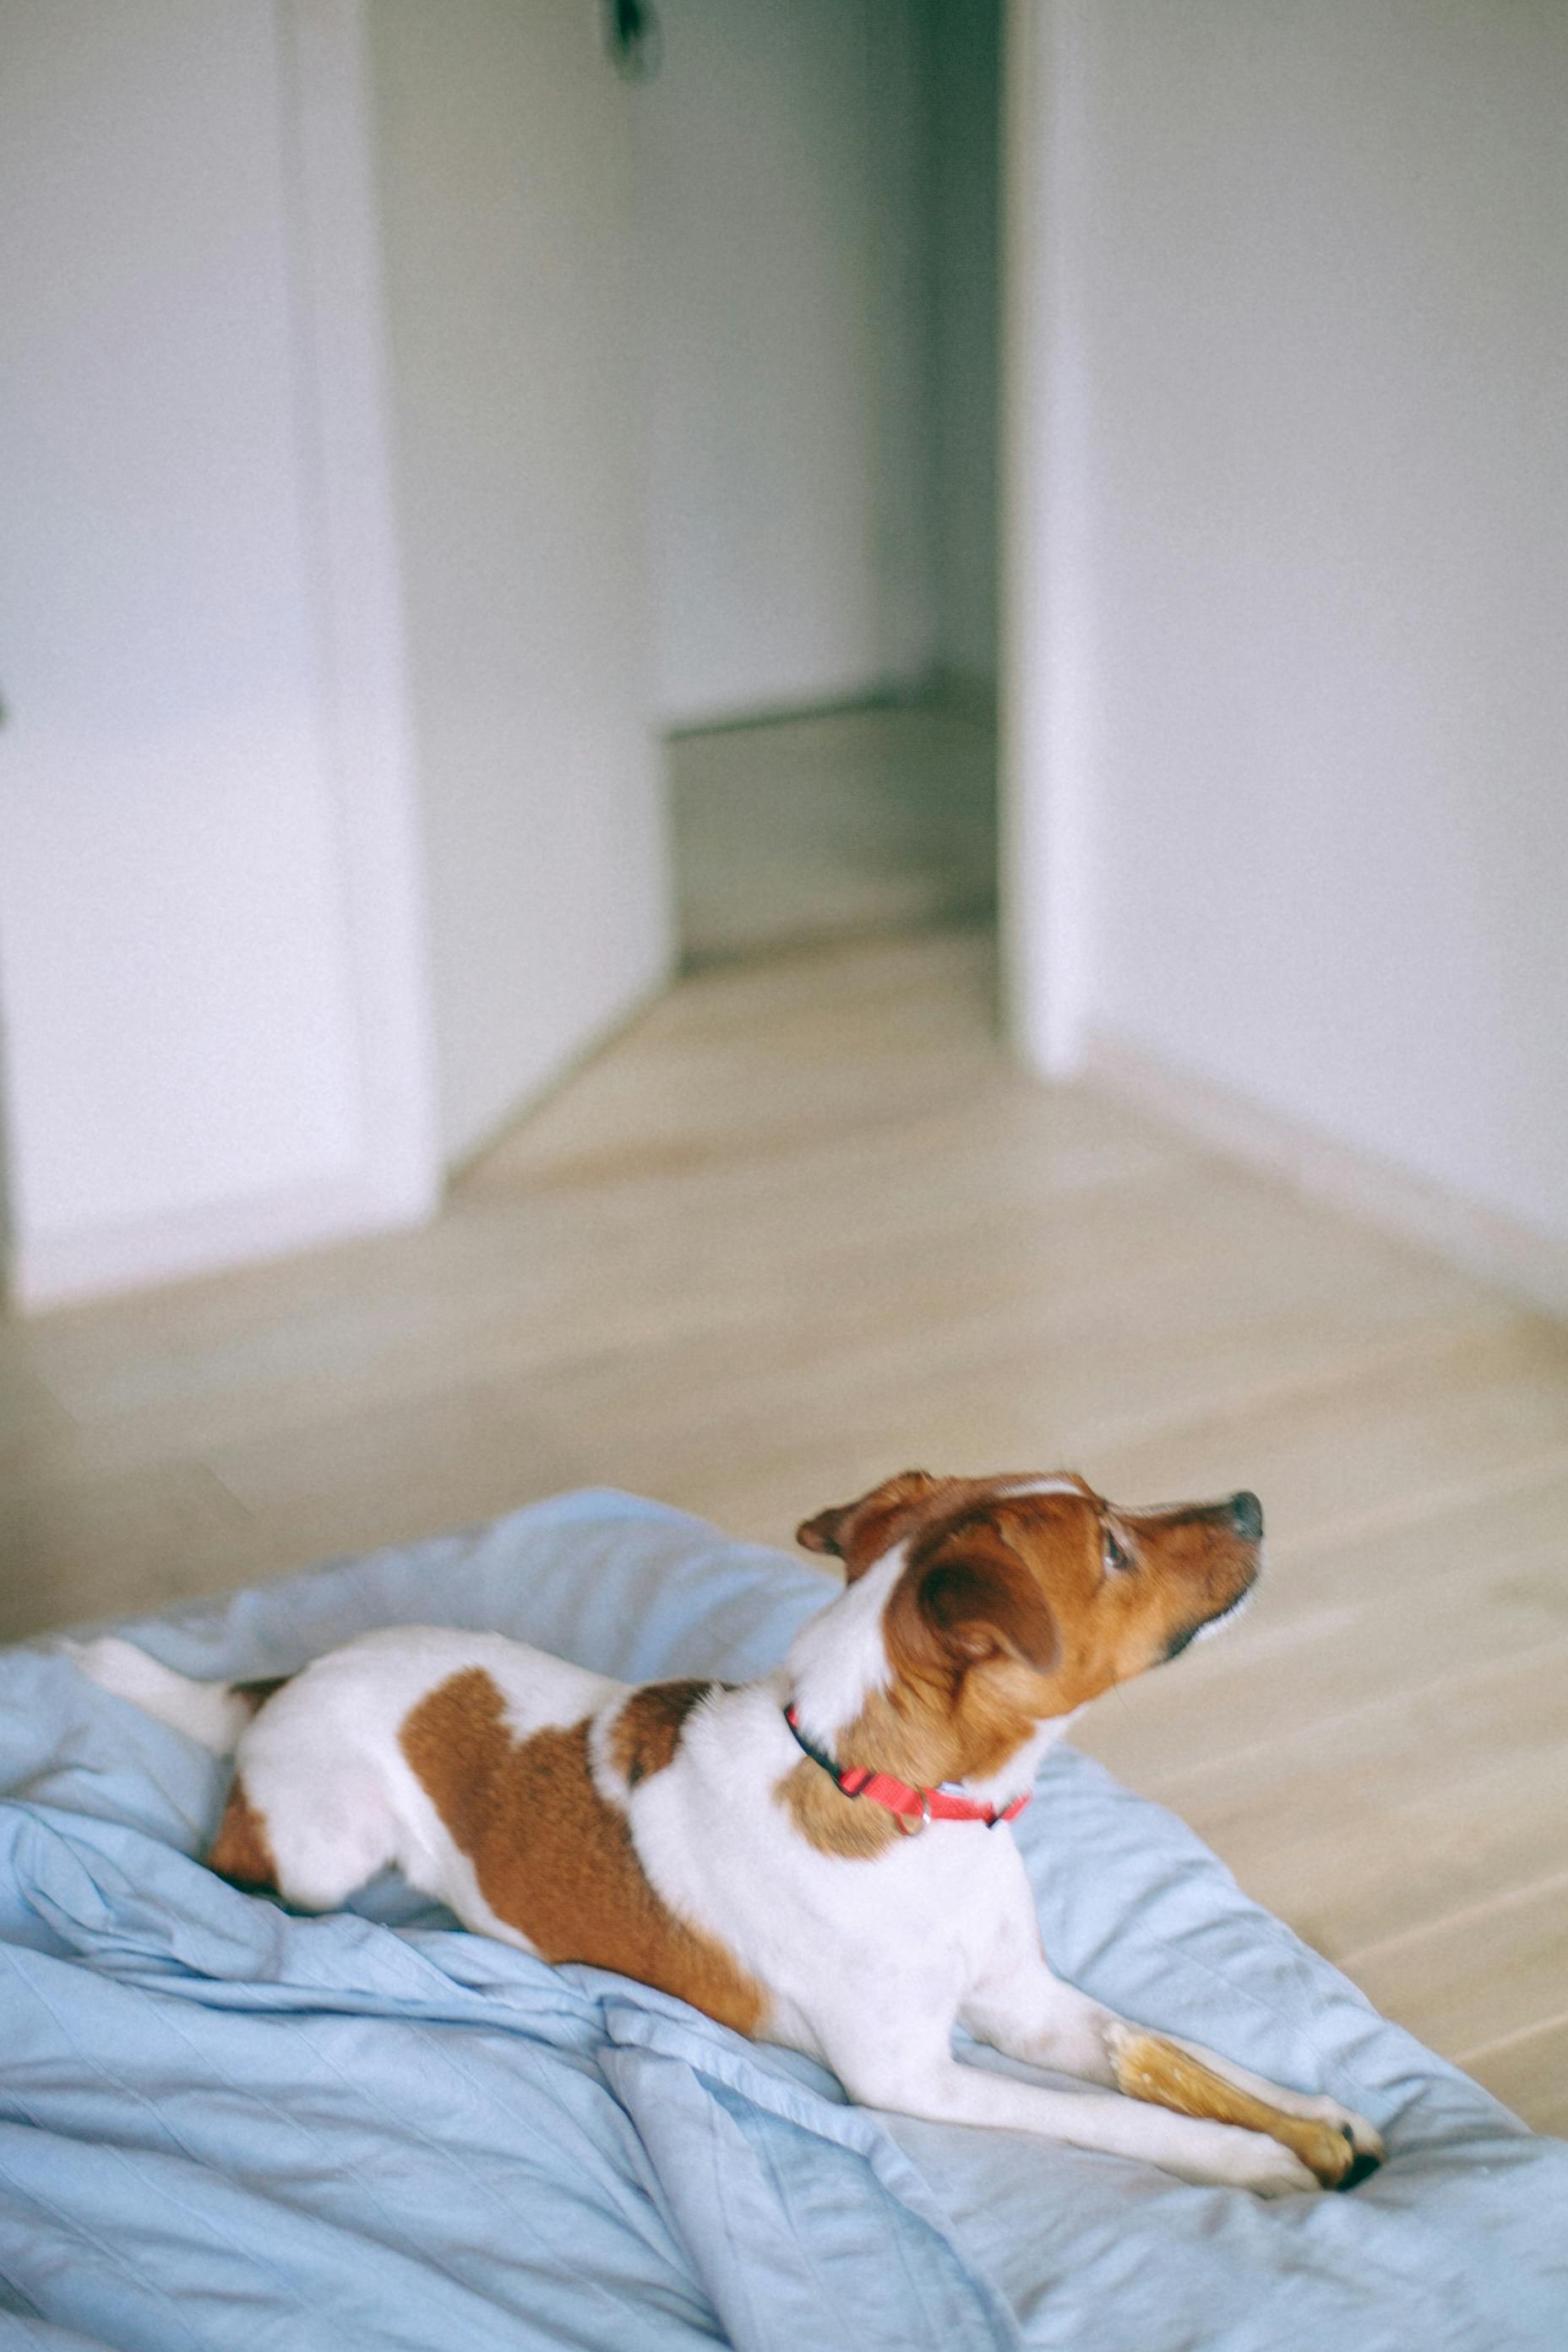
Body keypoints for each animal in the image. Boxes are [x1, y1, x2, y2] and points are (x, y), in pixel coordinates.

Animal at [76, 1477, 1382, 2191]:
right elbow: (1114, 2115)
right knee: (239, 1867)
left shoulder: (1025, 2004)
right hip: (326, 1849)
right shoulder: (911, 2079)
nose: (1254, 1503)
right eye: (1109, 1543)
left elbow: (1172, 2053)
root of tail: (282, 1683)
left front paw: (1312, 2117)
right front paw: (1258, 2163)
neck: (906, 1813)